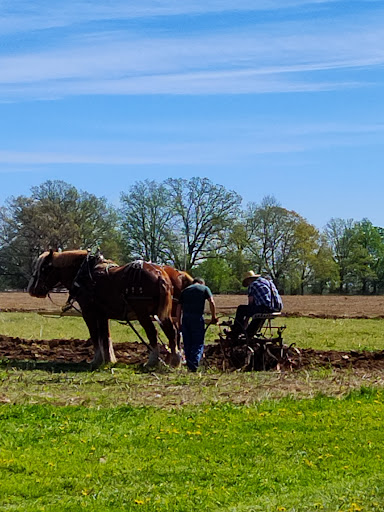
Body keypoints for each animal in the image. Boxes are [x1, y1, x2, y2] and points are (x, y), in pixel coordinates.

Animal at [27, 249, 180, 366]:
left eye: (44, 268)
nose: (32, 290)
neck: (84, 273)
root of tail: (159, 274)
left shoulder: (88, 312)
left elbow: (95, 335)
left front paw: (96, 360)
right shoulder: (102, 314)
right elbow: (105, 336)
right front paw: (109, 360)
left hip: (142, 313)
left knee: (153, 333)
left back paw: (152, 361)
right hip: (162, 313)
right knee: (172, 332)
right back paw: (175, 361)